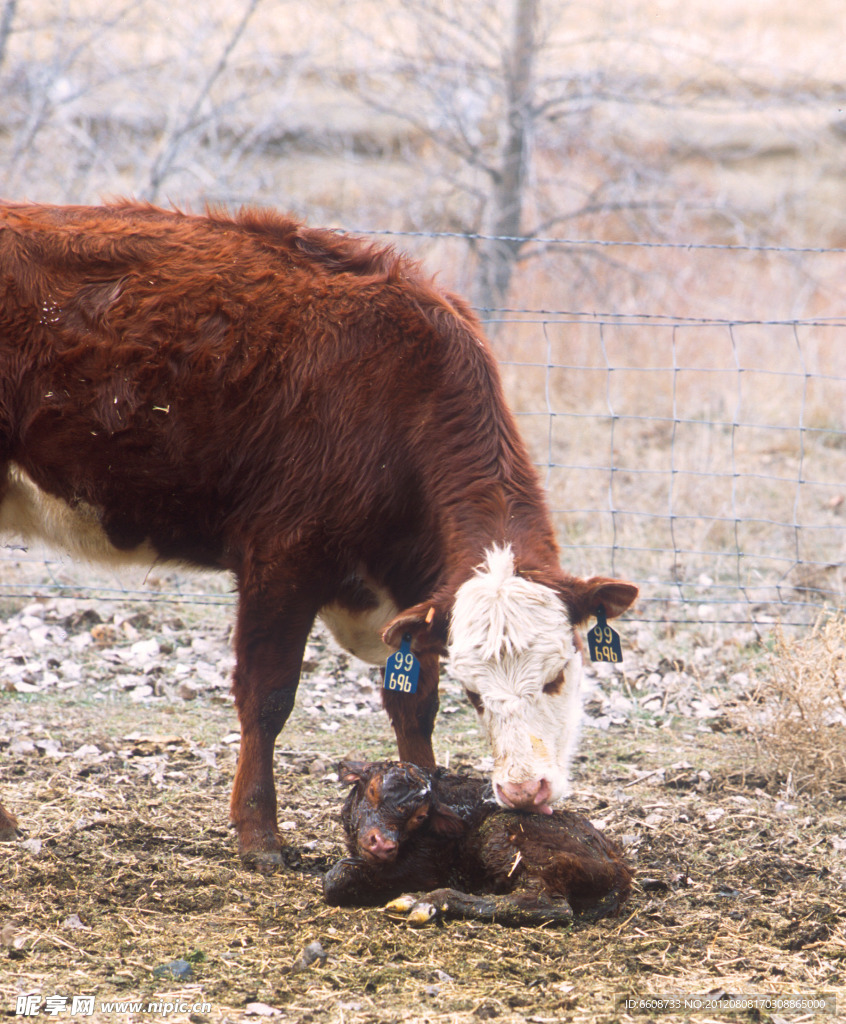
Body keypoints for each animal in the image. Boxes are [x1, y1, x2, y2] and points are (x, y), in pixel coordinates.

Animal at [0, 199, 630, 864]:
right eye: (477, 693)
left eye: (557, 675)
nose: (524, 790)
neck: (400, 398)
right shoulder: (282, 560)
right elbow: (268, 696)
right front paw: (258, 833)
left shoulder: (415, 602)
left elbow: (413, 704)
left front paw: (432, 814)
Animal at [319, 761, 630, 929]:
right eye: (372, 789)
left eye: (420, 816)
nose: (383, 845)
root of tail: (619, 865)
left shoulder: (426, 867)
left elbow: (336, 878)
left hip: (508, 840)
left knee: (546, 904)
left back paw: (430, 901)